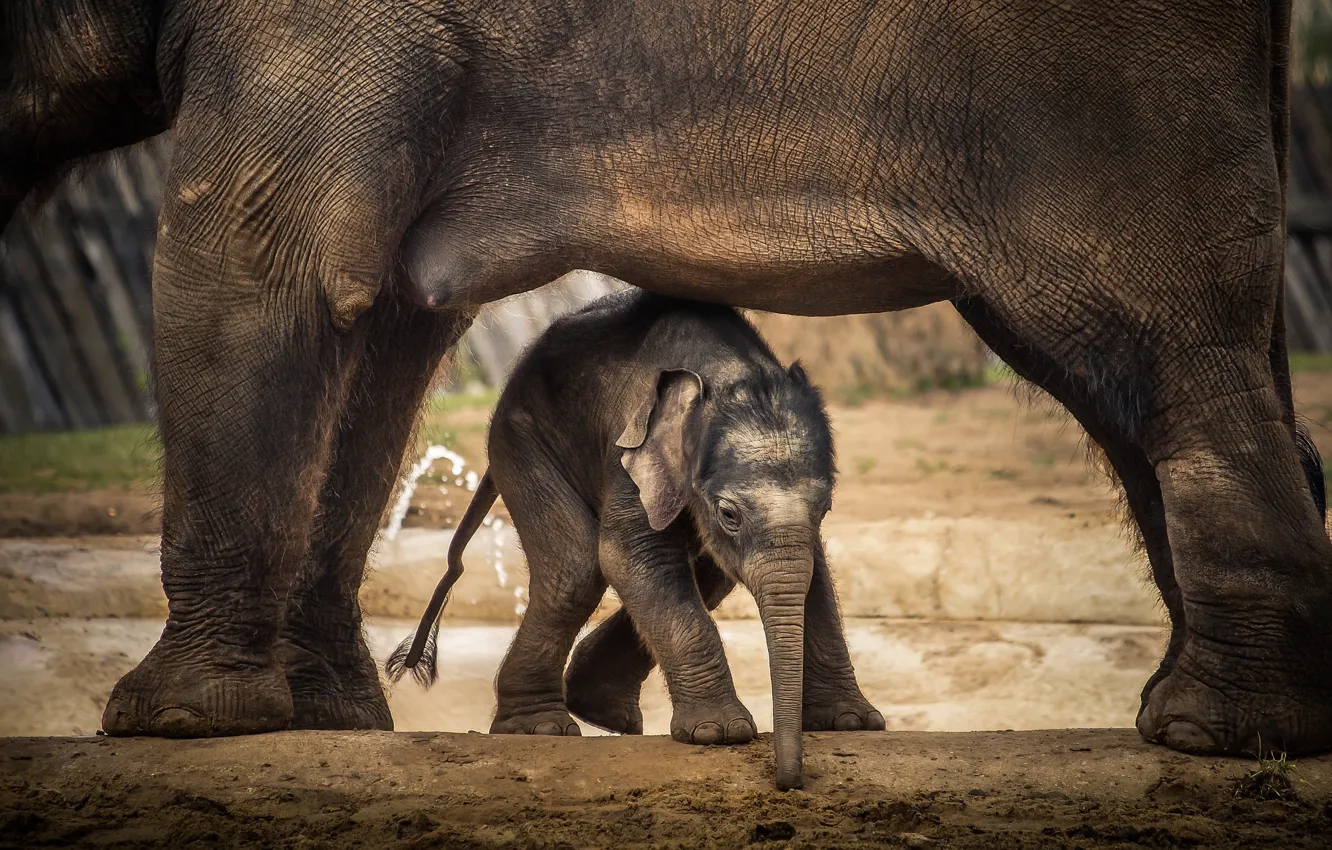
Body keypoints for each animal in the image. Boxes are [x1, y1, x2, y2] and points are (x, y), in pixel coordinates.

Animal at [388, 287, 884, 794]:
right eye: (729, 514)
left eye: (825, 506)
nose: (787, 782)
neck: (724, 370)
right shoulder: (631, 449)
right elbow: (631, 555)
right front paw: (720, 734)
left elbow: (813, 573)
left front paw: (850, 723)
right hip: (520, 438)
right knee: (576, 570)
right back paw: (540, 727)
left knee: (707, 571)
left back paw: (600, 711)